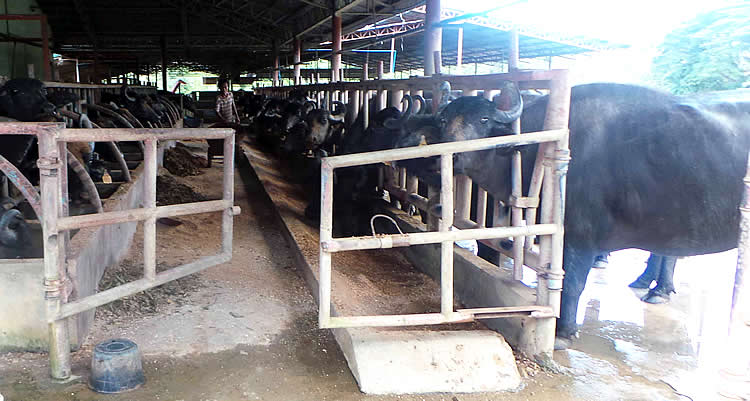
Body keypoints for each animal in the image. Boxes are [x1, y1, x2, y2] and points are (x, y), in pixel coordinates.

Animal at [440, 83, 750, 346]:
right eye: (444, 119)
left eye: (483, 120)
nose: (450, 156)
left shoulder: (580, 237)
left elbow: (573, 283)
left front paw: (563, 330)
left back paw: (658, 290)